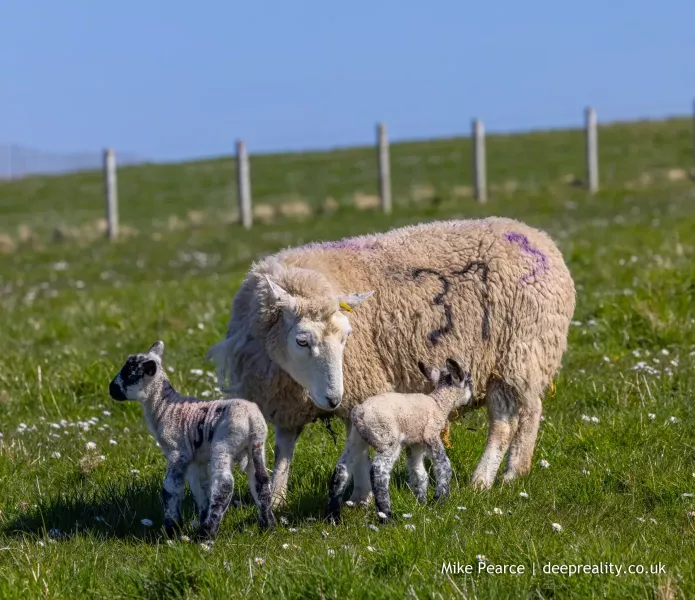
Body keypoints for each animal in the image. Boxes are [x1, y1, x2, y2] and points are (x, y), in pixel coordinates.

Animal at [109, 341, 275, 539]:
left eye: (129, 374)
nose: (111, 389)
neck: (165, 407)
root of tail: (252, 418)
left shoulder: (178, 452)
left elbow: (171, 488)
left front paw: (173, 528)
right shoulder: (197, 459)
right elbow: (200, 489)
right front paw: (200, 518)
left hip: (224, 443)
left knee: (224, 485)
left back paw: (207, 533)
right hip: (257, 446)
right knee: (261, 481)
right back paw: (267, 525)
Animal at [326, 357, 474, 523]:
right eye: (470, 381)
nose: (471, 399)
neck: (439, 403)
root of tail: (360, 411)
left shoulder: (415, 443)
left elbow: (419, 473)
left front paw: (421, 502)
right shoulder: (431, 435)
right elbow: (444, 466)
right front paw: (440, 500)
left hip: (356, 439)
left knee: (342, 469)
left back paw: (333, 517)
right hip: (387, 438)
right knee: (379, 470)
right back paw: (386, 516)